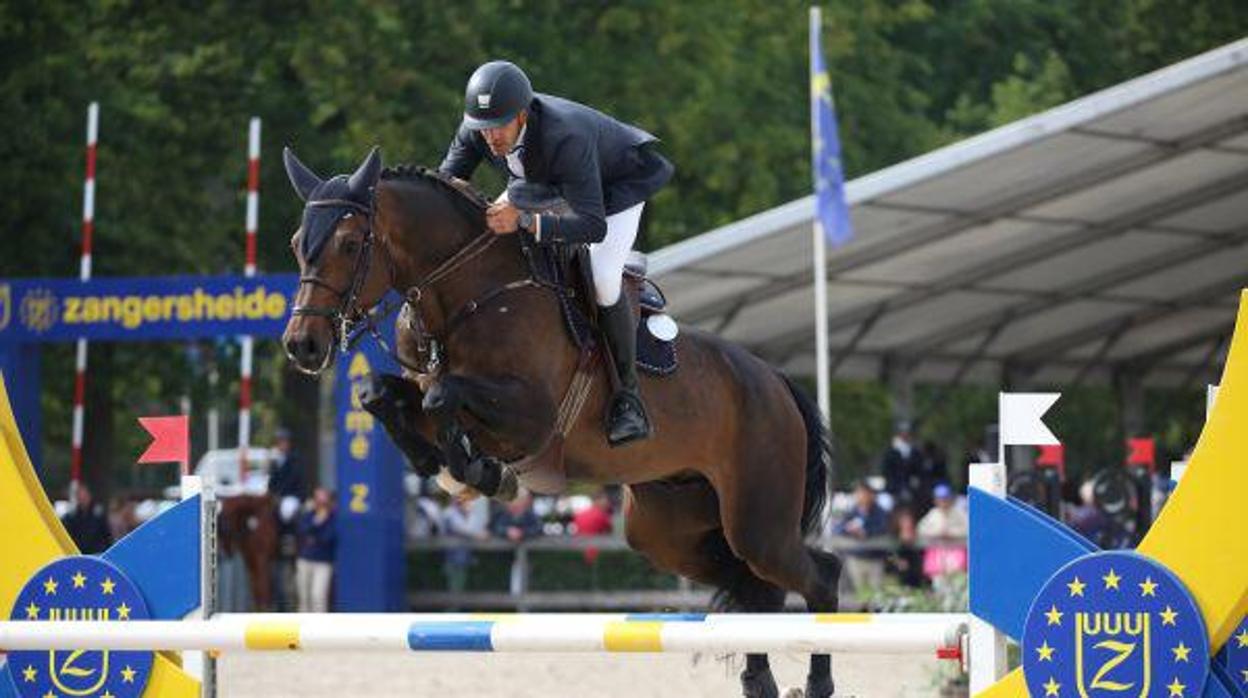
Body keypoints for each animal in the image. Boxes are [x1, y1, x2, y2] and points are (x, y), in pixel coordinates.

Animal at [279, 148, 843, 698]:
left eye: (350, 243)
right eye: (296, 244)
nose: (302, 345)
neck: (470, 291)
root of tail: (776, 381)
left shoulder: (531, 419)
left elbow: (444, 397)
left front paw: (477, 472)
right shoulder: (425, 388)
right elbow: (377, 393)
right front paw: (442, 465)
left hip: (757, 520)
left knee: (817, 575)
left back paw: (817, 682)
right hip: (668, 528)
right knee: (752, 585)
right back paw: (759, 681)